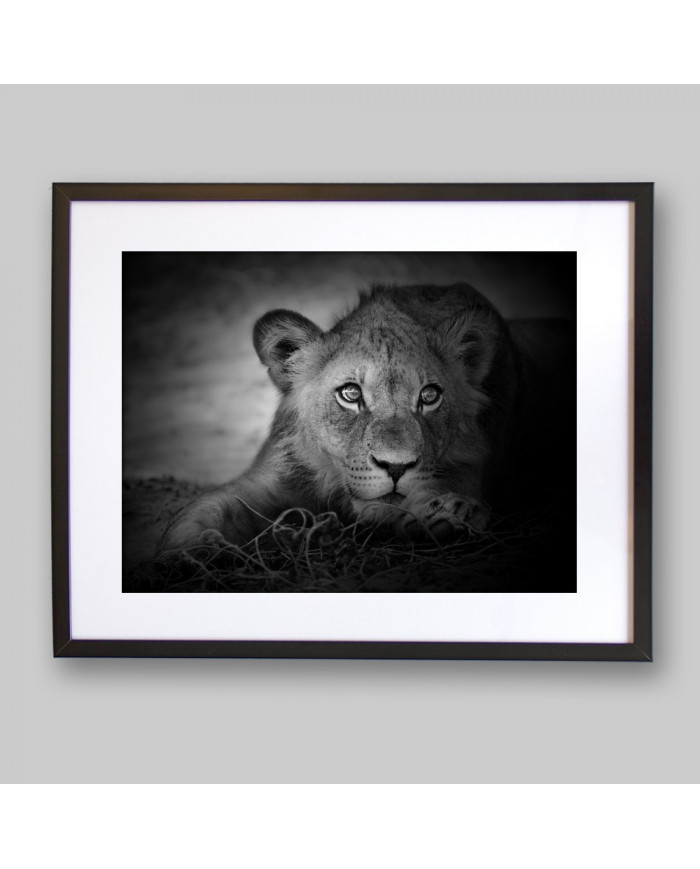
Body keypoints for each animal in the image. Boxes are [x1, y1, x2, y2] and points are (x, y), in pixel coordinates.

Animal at [158, 283, 529, 552]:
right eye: (350, 394)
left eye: (429, 396)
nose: (396, 467)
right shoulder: (271, 478)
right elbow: (204, 508)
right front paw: (188, 552)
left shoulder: (468, 466)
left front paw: (448, 515)